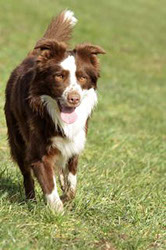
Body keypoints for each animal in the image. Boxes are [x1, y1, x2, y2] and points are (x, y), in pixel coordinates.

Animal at [4, 10, 105, 213]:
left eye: (82, 77)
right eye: (59, 76)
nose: (74, 98)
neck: (55, 115)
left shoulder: (75, 142)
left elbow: (71, 180)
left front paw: (67, 196)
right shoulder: (39, 152)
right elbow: (50, 187)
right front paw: (58, 212)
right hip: (17, 138)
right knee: (26, 173)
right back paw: (30, 199)